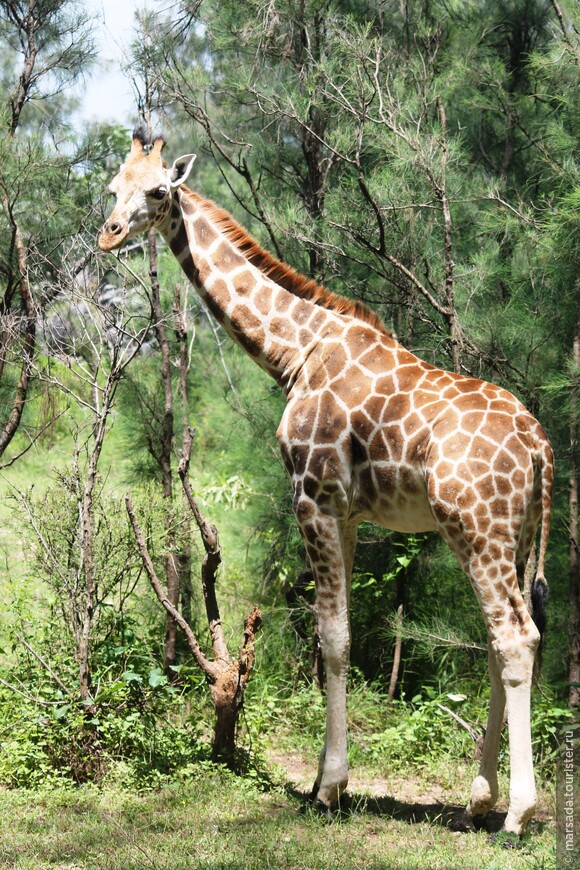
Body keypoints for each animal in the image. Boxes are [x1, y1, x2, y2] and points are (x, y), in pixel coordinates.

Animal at [98, 131, 552, 836]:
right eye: (112, 186)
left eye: (158, 190)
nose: (109, 233)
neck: (294, 352)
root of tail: (540, 447)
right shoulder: (349, 513)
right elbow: (334, 633)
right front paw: (321, 777)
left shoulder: (311, 495)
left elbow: (333, 637)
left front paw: (330, 788)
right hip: (512, 533)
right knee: (498, 640)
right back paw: (479, 799)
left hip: (478, 526)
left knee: (515, 637)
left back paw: (518, 814)